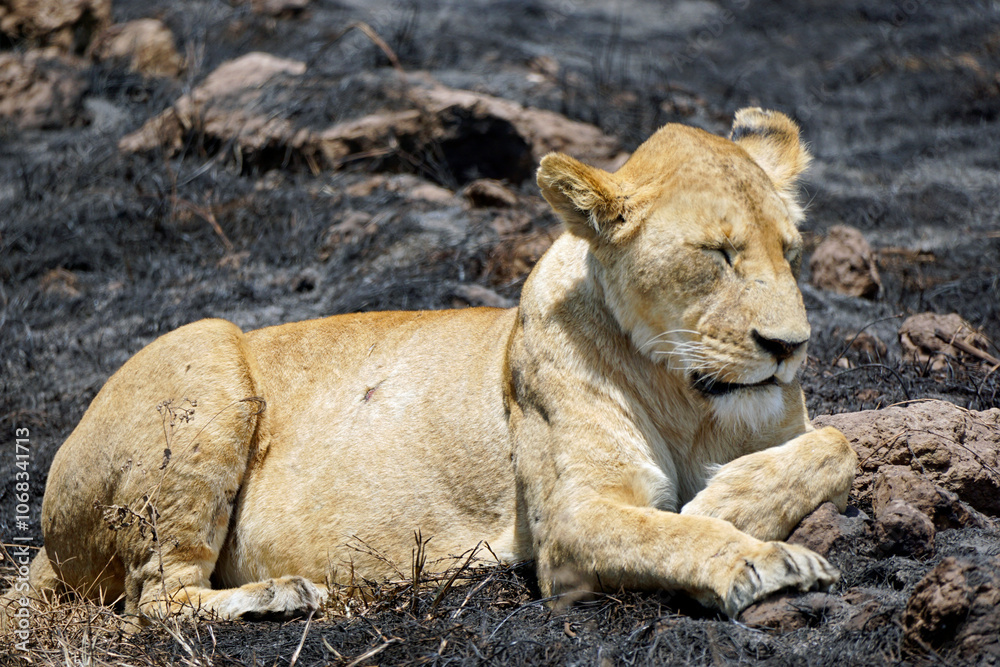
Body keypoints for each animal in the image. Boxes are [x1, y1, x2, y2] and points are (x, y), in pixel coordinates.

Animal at [9, 107, 855, 624]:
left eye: (791, 250)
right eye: (717, 254)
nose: (791, 345)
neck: (693, 400)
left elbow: (838, 443)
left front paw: (727, 496)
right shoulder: (571, 525)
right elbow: (676, 534)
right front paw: (763, 556)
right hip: (205, 353)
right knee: (155, 599)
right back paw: (279, 595)